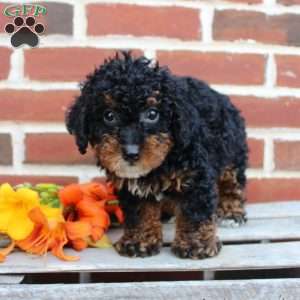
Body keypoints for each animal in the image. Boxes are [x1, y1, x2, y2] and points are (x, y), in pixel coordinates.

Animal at [66, 51, 248, 258]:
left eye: (152, 114)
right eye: (109, 116)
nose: (131, 152)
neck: (162, 162)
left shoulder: (196, 175)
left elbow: (195, 210)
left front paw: (195, 244)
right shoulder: (131, 185)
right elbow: (140, 211)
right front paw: (139, 241)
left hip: (232, 153)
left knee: (232, 185)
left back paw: (231, 212)